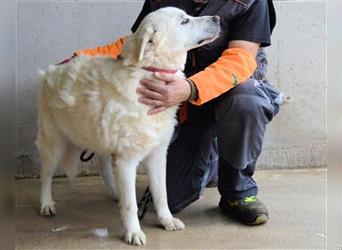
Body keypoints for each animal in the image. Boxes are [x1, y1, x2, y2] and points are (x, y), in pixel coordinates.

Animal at [36, 7, 219, 246]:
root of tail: (50, 71)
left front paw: (166, 221)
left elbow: (161, 194)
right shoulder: (127, 160)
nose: (217, 18)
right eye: (184, 21)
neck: (150, 71)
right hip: (54, 143)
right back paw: (46, 204)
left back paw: (116, 193)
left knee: (104, 167)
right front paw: (133, 232)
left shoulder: (158, 154)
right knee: (46, 174)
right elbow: (132, 205)